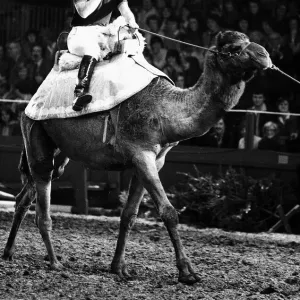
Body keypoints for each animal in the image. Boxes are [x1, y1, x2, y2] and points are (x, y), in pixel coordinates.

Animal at [1, 31, 272, 284]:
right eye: (235, 48)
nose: (265, 56)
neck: (164, 109)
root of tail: (30, 102)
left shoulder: (151, 161)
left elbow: (129, 215)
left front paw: (118, 268)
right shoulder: (141, 154)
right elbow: (169, 212)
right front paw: (187, 272)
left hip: (58, 152)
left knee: (25, 195)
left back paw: (9, 252)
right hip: (36, 131)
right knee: (42, 203)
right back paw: (55, 262)